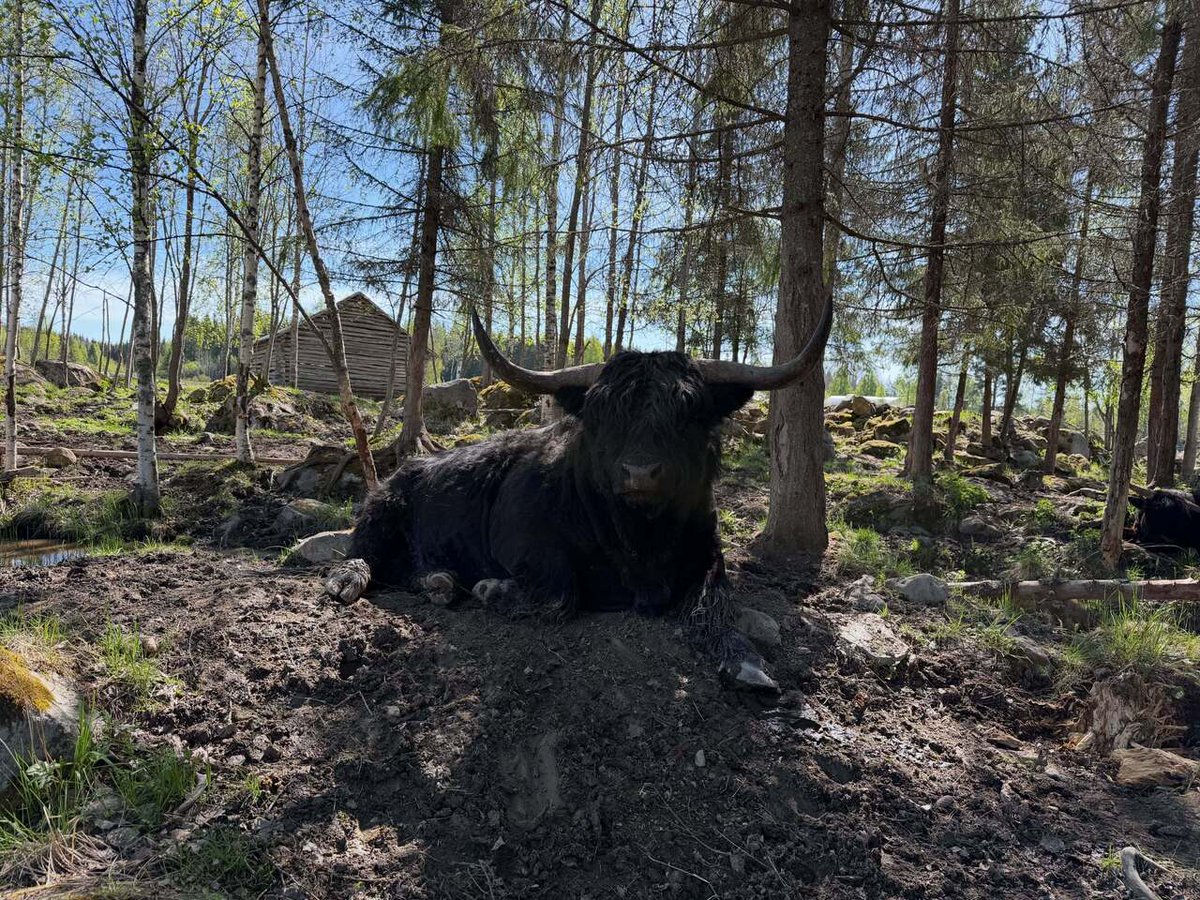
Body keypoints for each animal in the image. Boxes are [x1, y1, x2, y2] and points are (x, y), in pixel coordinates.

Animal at [324, 297, 832, 690]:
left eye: (690, 409)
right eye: (602, 410)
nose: (640, 472)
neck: (641, 541)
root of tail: (411, 466)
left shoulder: (709, 554)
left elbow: (719, 601)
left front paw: (747, 663)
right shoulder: (524, 542)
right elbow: (558, 593)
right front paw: (492, 589)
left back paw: (440, 582)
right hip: (382, 508)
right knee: (363, 553)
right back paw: (349, 580)